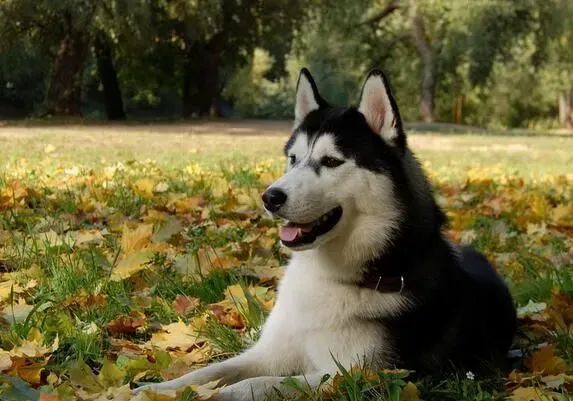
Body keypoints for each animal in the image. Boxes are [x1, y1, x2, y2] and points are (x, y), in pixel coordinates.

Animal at [132, 69, 516, 400]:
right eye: (292, 158)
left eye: (331, 161)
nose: (270, 197)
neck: (331, 276)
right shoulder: (270, 353)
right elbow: (207, 372)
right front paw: (154, 389)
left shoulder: (362, 374)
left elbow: (260, 384)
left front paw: (213, 396)